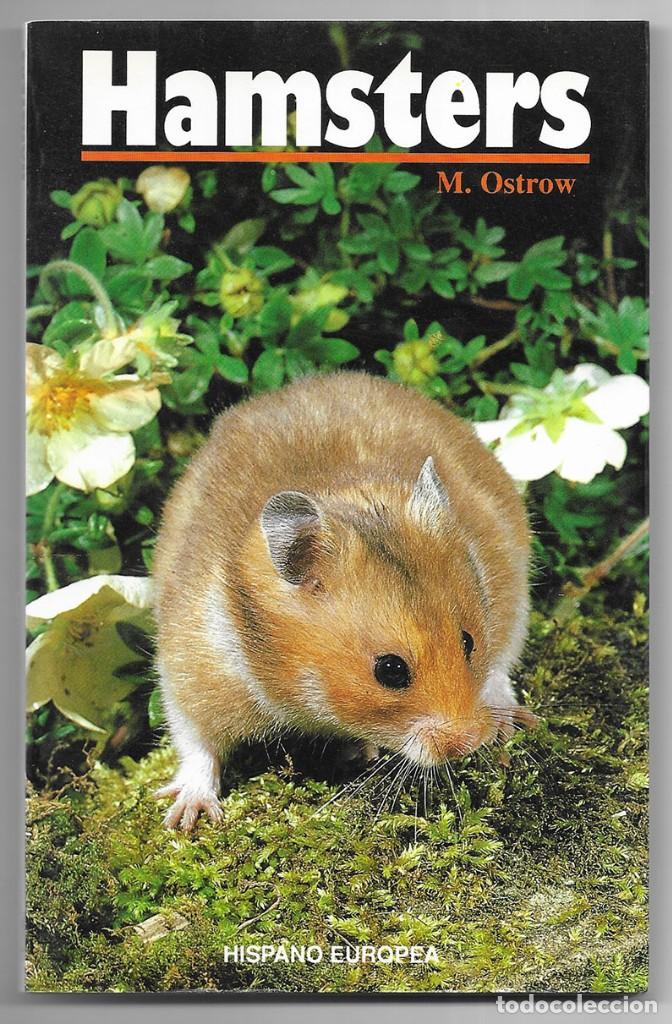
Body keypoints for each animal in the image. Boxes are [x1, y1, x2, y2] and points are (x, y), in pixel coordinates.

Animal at [152, 371, 533, 831]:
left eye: (468, 642)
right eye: (390, 670)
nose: (469, 743)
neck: (297, 687)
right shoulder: (192, 666)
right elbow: (196, 740)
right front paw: (186, 819)